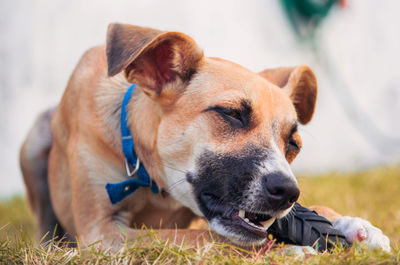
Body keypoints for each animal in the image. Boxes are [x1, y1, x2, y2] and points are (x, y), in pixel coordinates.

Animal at [20, 23, 390, 252]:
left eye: (293, 144)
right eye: (232, 113)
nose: (288, 192)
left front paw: (355, 225)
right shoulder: (103, 231)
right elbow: (196, 237)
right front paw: (287, 251)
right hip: (34, 142)